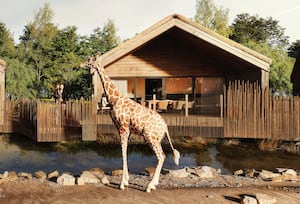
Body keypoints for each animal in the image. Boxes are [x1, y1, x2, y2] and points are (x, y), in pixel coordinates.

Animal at [79, 53, 180, 193]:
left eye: (90, 59)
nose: (80, 64)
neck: (114, 99)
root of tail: (165, 127)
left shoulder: (123, 127)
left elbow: (123, 152)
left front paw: (122, 184)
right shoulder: (123, 129)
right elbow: (125, 151)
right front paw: (126, 181)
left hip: (150, 137)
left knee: (161, 156)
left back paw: (149, 187)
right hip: (156, 139)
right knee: (163, 156)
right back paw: (154, 184)